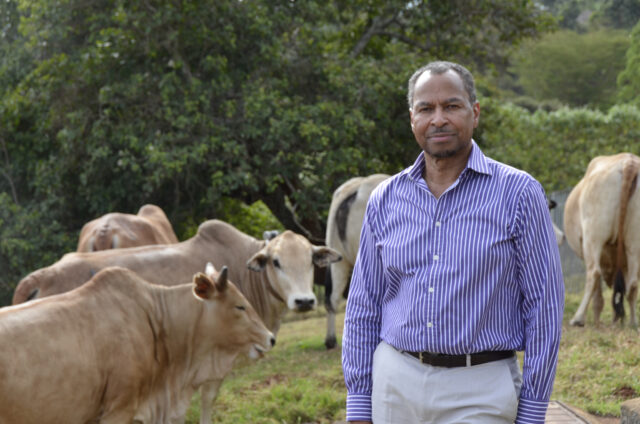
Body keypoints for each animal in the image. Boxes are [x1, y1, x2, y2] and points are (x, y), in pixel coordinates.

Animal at [564, 152, 640, 328]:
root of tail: (629, 161)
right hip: (635, 241)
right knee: (633, 284)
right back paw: (633, 322)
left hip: (593, 237)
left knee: (594, 273)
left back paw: (578, 318)